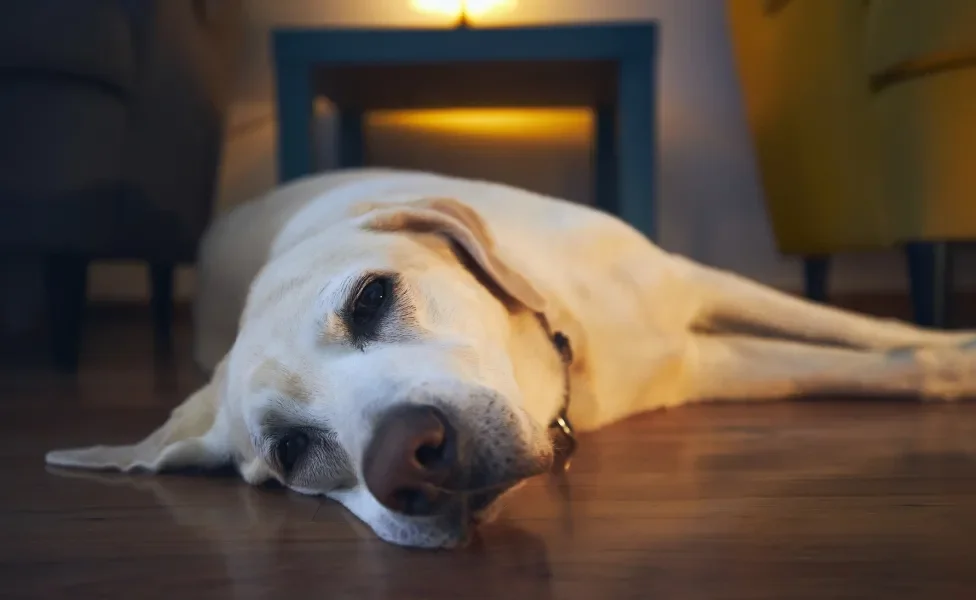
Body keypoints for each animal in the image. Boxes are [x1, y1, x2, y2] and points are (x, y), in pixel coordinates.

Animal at [47, 169, 976, 548]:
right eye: (291, 452)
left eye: (372, 298)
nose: (409, 459)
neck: (573, 356)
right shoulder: (706, 365)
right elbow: (870, 362)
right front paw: (948, 363)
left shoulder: (697, 285)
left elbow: (862, 333)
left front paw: (954, 349)